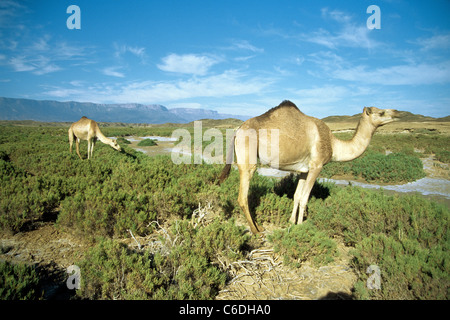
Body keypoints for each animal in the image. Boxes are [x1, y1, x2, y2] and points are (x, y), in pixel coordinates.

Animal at [220, 101, 400, 234]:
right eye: (381, 112)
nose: (397, 112)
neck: (334, 145)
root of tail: (237, 131)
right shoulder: (316, 166)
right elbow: (305, 198)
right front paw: (300, 226)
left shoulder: (303, 171)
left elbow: (297, 196)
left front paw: (291, 222)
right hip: (248, 157)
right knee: (243, 196)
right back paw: (256, 231)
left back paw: (259, 227)